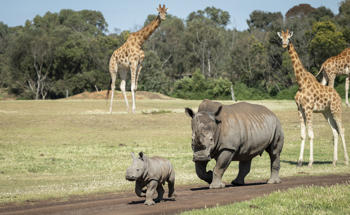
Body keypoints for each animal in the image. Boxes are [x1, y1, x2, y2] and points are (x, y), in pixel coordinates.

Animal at [278, 29, 348, 166]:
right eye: (281, 38)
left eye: (288, 38)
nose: (284, 45)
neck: (301, 83)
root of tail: (338, 96)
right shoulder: (300, 109)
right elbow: (302, 134)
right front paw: (300, 161)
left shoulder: (309, 108)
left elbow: (311, 134)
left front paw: (310, 162)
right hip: (326, 112)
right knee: (335, 131)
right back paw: (334, 161)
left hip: (336, 110)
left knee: (341, 129)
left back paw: (346, 160)